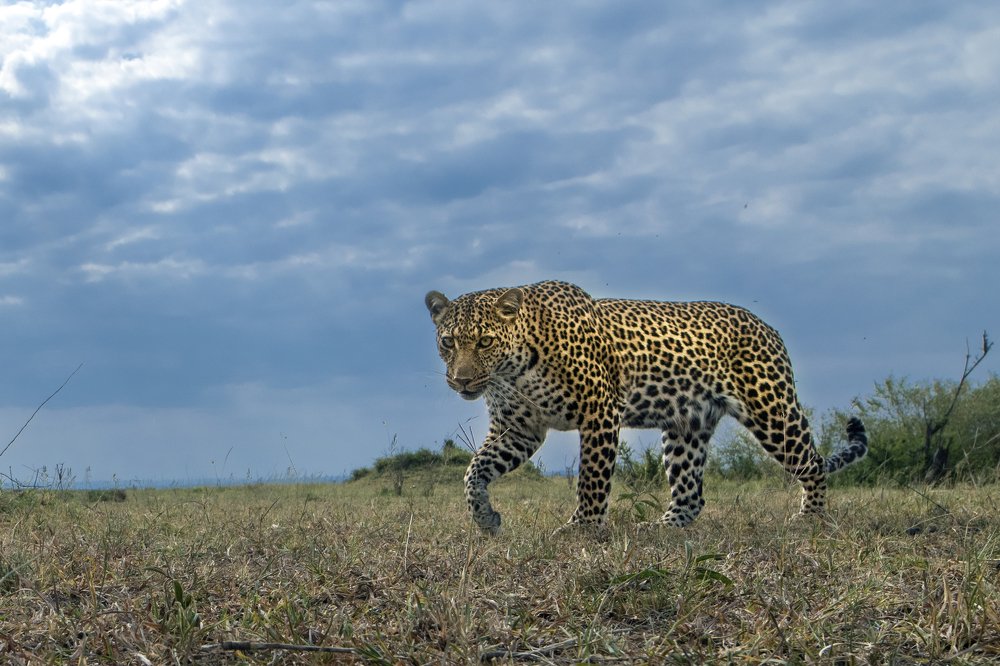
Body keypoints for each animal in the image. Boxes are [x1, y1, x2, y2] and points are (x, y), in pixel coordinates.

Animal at [425, 280, 868, 534]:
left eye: (484, 341)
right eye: (448, 342)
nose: (461, 380)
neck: (514, 370)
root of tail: (769, 328)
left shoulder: (599, 412)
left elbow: (592, 479)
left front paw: (583, 529)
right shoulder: (518, 428)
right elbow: (474, 471)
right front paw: (485, 518)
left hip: (772, 410)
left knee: (812, 462)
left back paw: (811, 518)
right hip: (686, 429)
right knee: (690, 494)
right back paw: (662, 530)